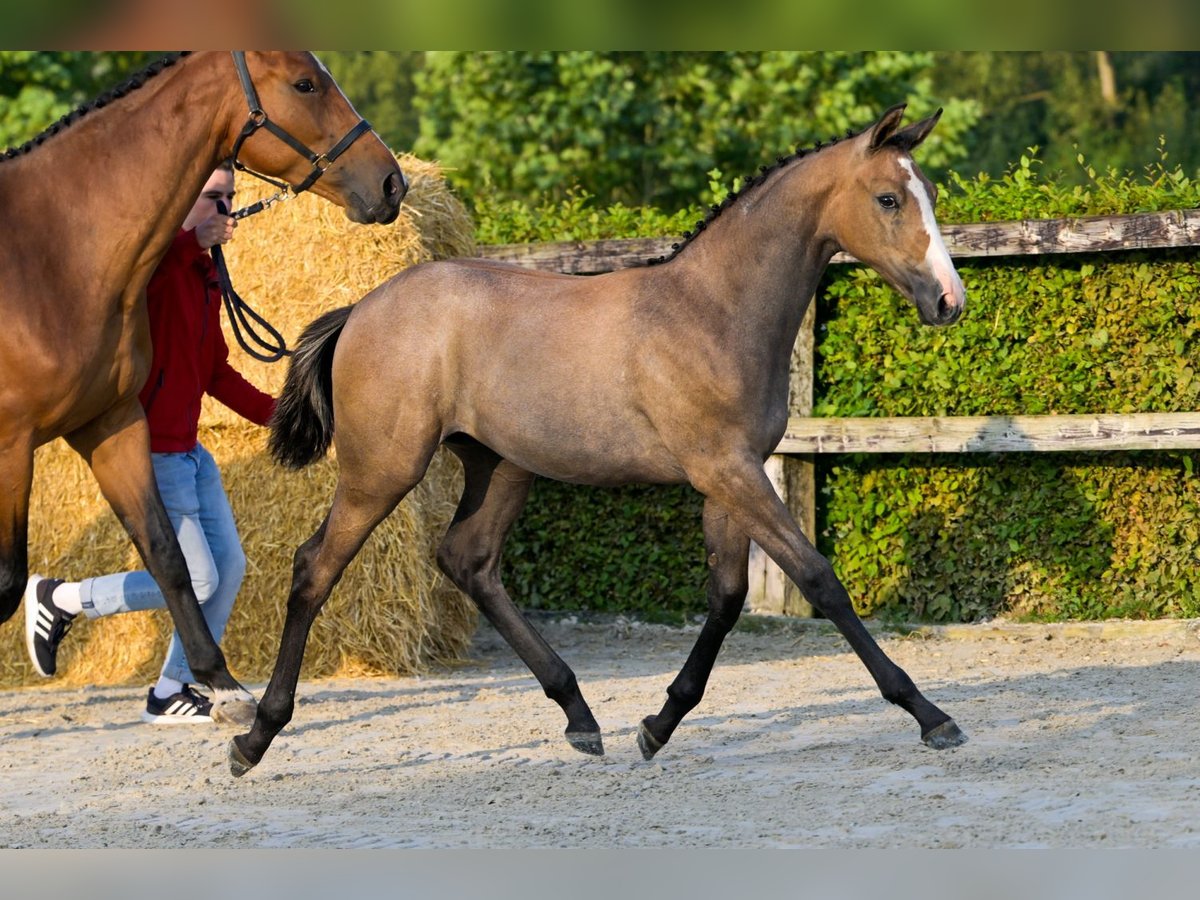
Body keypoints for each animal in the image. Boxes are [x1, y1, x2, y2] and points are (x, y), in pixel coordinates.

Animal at [0, 49, 408, 724]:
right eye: (305, 83)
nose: (391, 184)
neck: (50, 256)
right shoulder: (10, 446)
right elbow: (8, 579)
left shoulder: (111, 424)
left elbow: (168, 556)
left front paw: (223, 688)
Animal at [229, 100, 969, 777]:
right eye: (888, 198)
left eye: (929, 194)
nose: (949, 302)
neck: (713, 312)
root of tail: (362, 309)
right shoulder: (729, 472)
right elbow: (819, 579)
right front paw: (930, 715)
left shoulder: (730, 477)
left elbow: (727, 597)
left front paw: (658, 724)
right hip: (381, 470)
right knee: (314, 568)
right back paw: (255, 737)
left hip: (501, 467)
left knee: (469, 560)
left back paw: (579, 715)